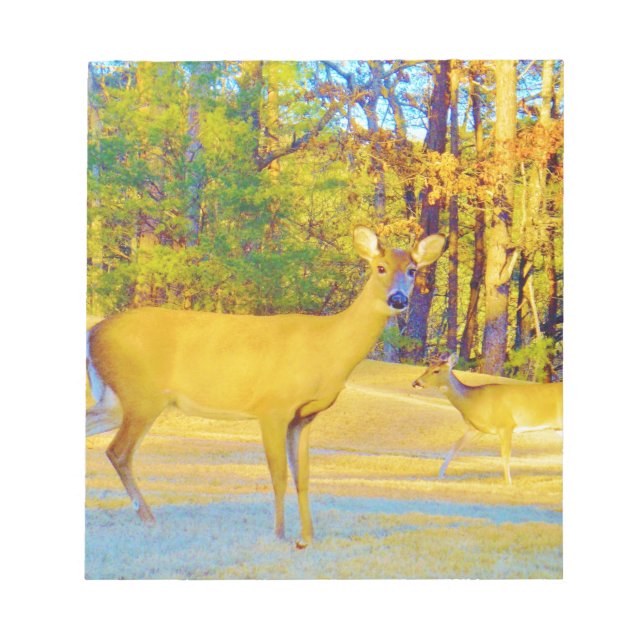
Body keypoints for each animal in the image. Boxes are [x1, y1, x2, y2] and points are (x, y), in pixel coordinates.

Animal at [86, 226, 446, 548]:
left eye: (412, 270)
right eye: (380, 267)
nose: (397, 299)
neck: (328, 349)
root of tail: (93, 333)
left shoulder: (305, 417)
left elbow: (303, 477)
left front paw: (308, 537)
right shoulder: (273, 407)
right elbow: (279, 474)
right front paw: (280, 534)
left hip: (115, 400)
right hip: (142, 395)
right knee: (118, 452)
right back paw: (149, 517)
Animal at [412, 353, 563, 484]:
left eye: (436, 371)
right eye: (426, 368)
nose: (416, 383)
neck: (474, 402)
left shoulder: (506, 425)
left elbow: (505, 454)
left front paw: (508, 483)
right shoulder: (476, 429)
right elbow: (455, 446)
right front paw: (440, 475)